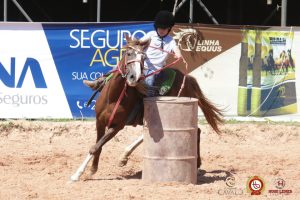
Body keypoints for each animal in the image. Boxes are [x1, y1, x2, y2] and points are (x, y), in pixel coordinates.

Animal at [69, 34, 223, 181]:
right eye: (128, 53)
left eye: (143, 57)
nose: (134, 77)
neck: (113, 97)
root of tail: (187, 79)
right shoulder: (99, 122)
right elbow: (97, 146)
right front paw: (92, 169)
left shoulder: (117, 126)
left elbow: (95, 147)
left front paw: (76, 175)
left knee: (196, 131)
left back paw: (196, 166)